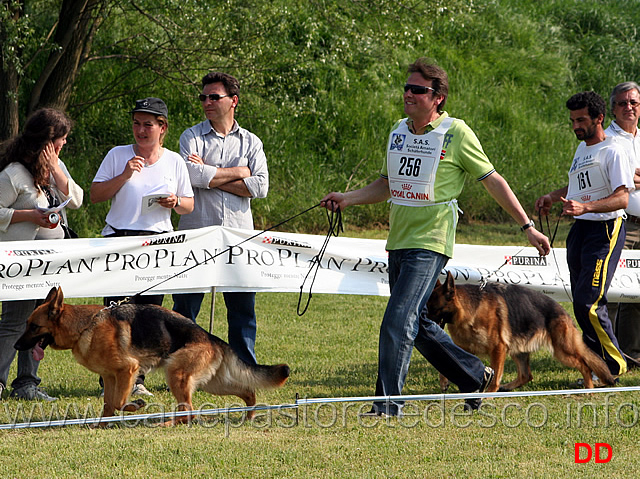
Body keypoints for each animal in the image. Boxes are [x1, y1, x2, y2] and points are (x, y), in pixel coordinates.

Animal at [15, 286, 290, 426]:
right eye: (26, 324)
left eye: (34, 327)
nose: (17, 346)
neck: (84, 326)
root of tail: (210, 337)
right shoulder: (111, 377)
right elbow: (108, 405)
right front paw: (102, 425)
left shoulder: (128, 370)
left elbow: (119, 402)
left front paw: (135, 406)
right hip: (212, 383)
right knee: (247, 391)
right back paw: (249, 414)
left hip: (177, 375)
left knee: (189, 411)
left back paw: (167, 424)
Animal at [424, 272, 616, 392]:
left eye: (433, 308)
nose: (420, 318)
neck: (469, 310)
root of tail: (563, 311)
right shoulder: (462, 348)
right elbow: (446, 363)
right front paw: (444, 382)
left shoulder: (498, 348)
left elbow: (495, 374)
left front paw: (489, 393)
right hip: (518, 349)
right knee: (526, 375)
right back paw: (508, 387)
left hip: (563, 351)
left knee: (584, 365)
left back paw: (588, 389)